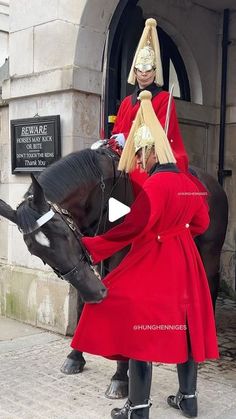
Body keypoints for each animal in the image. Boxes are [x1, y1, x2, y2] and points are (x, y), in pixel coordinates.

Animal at [0, 148, 229, 400]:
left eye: (63, 233)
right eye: (36, 251)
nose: (97, 294)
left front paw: (120, 376)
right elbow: (82, 303)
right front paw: (75, 356)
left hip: (209, 253)